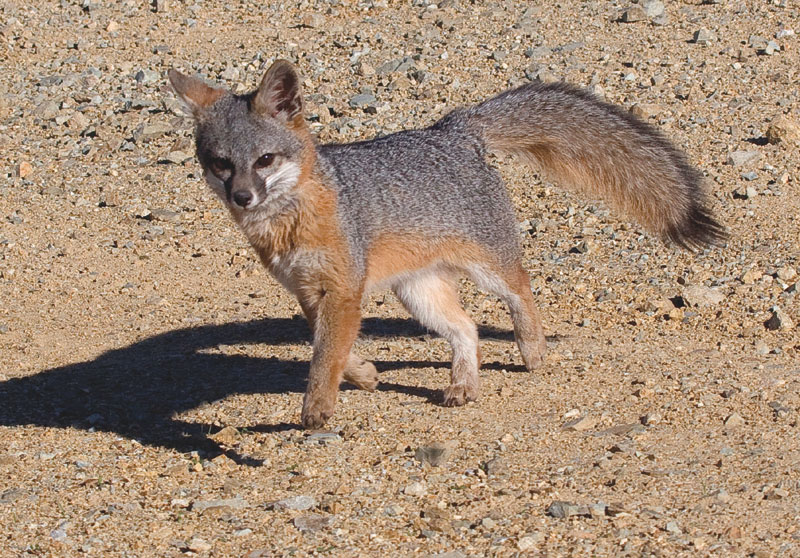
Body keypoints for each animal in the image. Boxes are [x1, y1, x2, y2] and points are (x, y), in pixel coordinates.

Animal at [168, 60, 724, 429]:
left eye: (264, 160)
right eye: (221, 164)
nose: (242, 196)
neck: (289, 223)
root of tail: (451, 129)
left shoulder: (343, 291)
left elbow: (325, 356)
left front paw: (318, 406)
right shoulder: (309, 293)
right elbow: (333, 349)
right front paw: (364, 374)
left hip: (488, 267)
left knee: (522, 291)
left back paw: (532, 348)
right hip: (419, 294)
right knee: (468, 328)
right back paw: (464, 384)